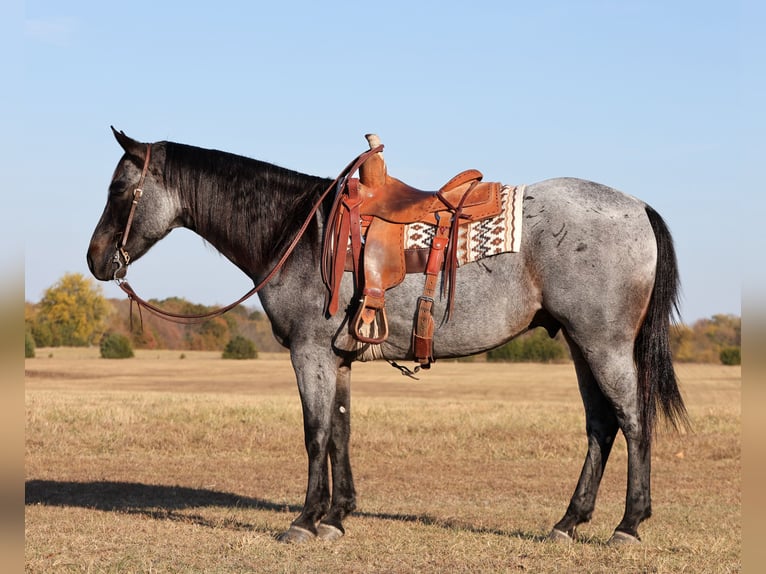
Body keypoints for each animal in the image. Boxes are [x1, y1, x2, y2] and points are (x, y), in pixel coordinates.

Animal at [88, 128, 688, 548]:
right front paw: (337, 516)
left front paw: (304, 520)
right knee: (600, 427)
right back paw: (568, 521)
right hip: (581, 345)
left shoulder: (309, 354)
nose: (96, 260)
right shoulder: (338, 358)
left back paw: (629, 524)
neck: (301, 232)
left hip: (603, 344)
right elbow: (341, 432)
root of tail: (637, 207)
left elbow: (315, 433)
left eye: (119, 189)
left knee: (633, 422)